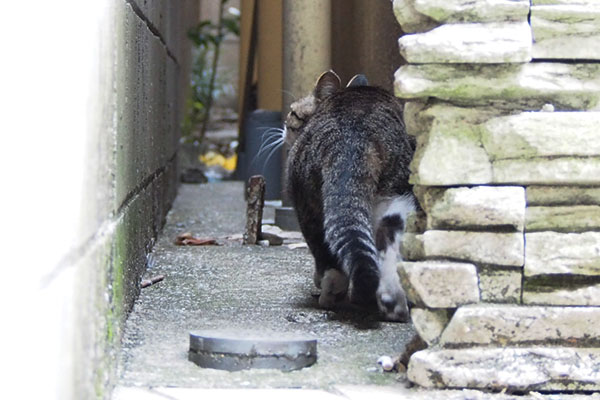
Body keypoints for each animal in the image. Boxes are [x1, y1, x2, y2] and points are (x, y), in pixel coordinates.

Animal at [286, 69, 418, 322]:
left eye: (293, 113)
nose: (285, 126)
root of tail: (355, 138)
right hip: (396, 198)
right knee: (387, 242)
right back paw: (391, 301)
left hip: (308, 204)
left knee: (325, 253)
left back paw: (332, 293)